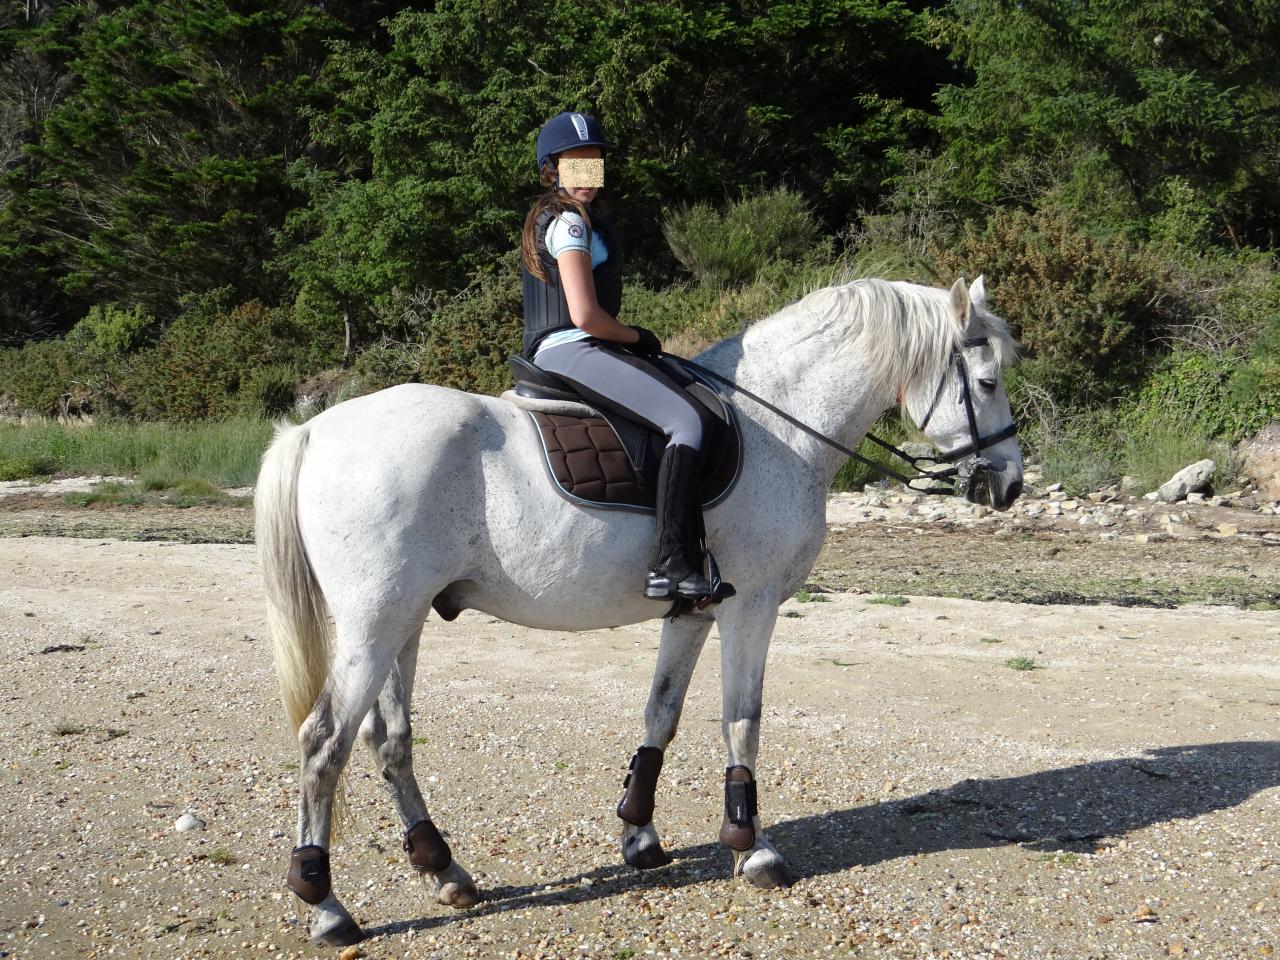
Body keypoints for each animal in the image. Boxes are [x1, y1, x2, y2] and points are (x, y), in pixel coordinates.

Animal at [254, 273, 1024, 942]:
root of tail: (317, 430)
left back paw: (444, 869)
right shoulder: (752, 607)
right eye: (987, 382)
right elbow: (742, 721)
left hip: (401, 624)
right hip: (374, 627)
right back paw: (326, 905)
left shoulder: (693, 612)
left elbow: (662, 716)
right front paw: (751, 846)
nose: (1010, 485)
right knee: (324, 744)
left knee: (389, 741)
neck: (774, 424)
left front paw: (640, 833)